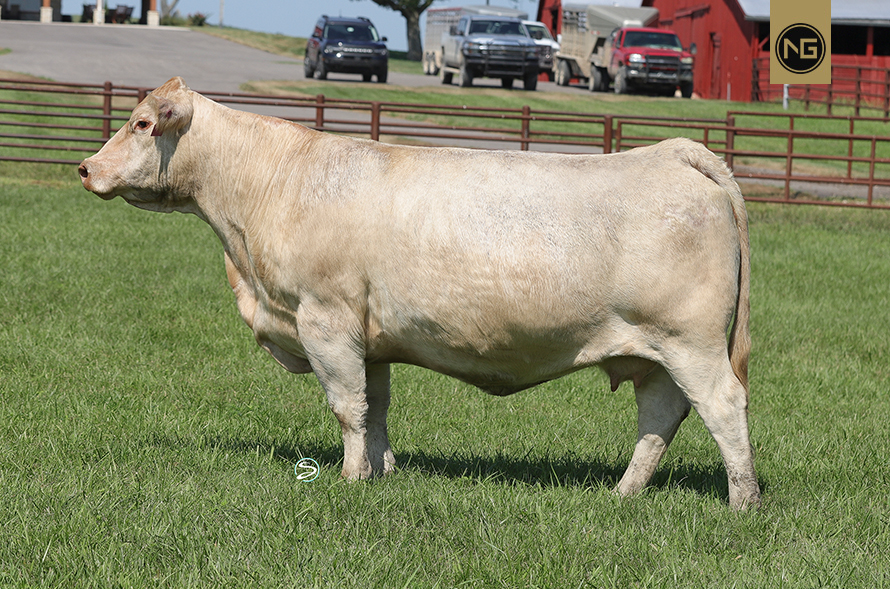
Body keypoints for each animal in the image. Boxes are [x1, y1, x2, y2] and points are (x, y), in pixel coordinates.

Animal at [79, 77, 760, 509]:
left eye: (142, 123)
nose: (85, 168)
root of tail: (673, 152)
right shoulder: (369, 337)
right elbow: (375, 408)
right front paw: (381, 474)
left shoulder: (325, 321)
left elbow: (346, 408)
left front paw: (350, 481)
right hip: (657, 353)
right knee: (661, 416)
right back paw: (623, 493)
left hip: (691, 342)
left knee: (723, 405)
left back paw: (742, 503)